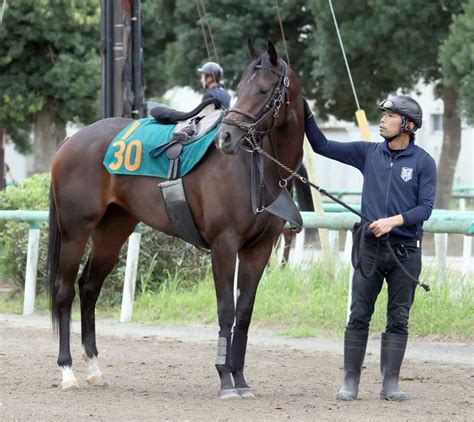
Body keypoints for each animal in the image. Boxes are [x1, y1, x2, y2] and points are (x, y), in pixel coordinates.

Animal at [48, 39, 306, 398]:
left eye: (264, 89)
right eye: (241, 88)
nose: (225, 138)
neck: (253, 167)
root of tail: (72, 140)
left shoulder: (260, 249)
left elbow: (244, 313)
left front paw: (240, 379)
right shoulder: (224, 245)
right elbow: (226, 310)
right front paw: (225, 379)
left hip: (112, 232)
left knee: (88, 289)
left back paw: (95, 368)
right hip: (75, 230)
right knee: (64, 292)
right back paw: (67, 370)